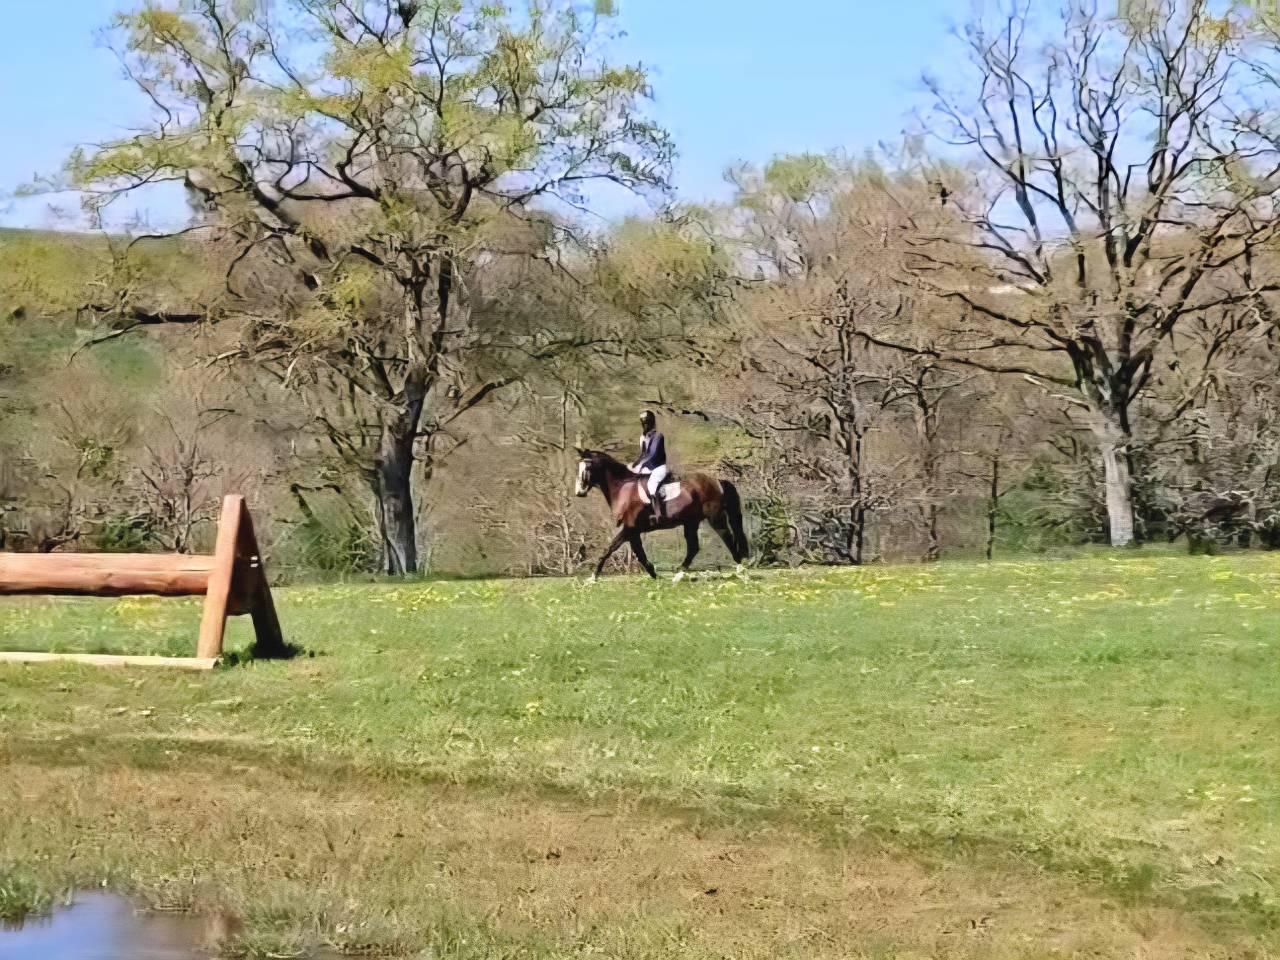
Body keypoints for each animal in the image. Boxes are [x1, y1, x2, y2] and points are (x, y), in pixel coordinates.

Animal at [573, 449, 749, 581]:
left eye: (587, 467)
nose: (579, 492)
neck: (623, 488)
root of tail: (717, 481)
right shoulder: (632, 531)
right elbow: (630, 551)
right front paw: (653, 573)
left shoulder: (630, 528)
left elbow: (614, 549)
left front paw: (593, 577)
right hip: (691, 522)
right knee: (693, 547)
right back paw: (679, 573)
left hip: (715, 518)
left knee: (728, 538)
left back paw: (740, 569)